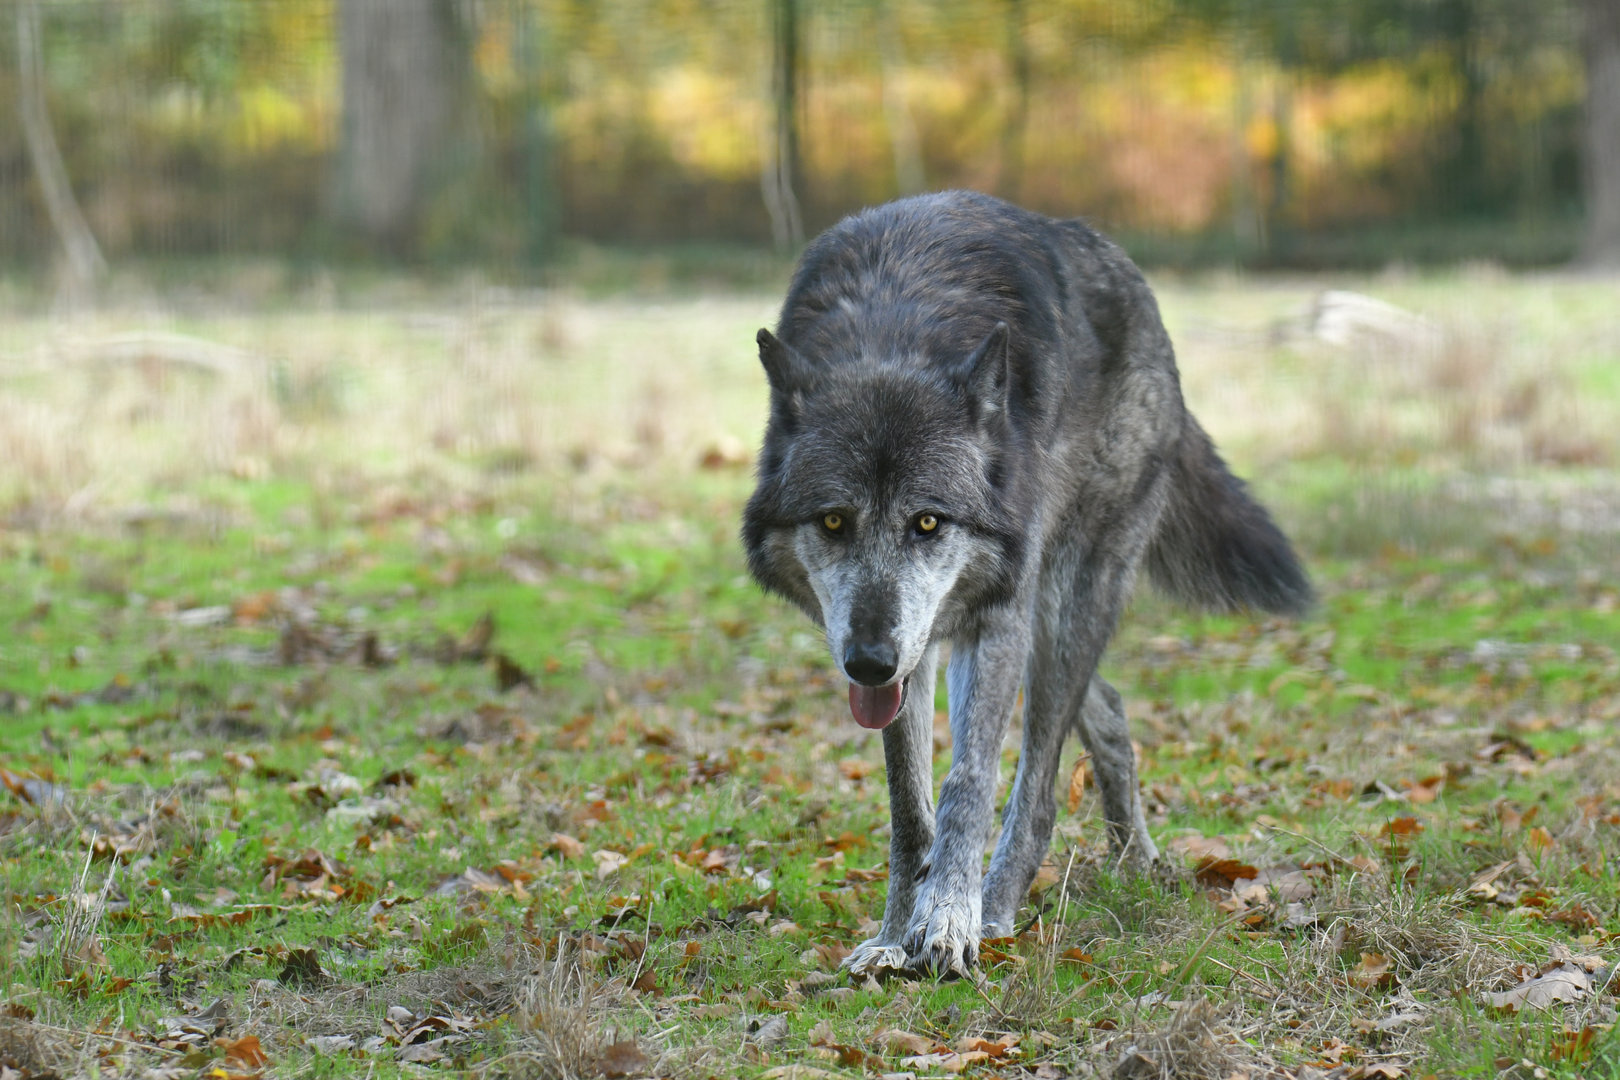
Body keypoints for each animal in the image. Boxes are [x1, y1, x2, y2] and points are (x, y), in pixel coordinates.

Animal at [742, 191, 1310, 978]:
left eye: (928, 522)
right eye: (832, 521)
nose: (869, 662)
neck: (896, 326)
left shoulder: (991, 622)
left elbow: (969, 783)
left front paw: (948, 922)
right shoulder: (915, 651)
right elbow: (907, 805)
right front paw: (893, 934)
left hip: (1062, 604)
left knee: (1039, 785)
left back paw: (999, 907)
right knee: (1109, 707)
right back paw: (1134, 859)